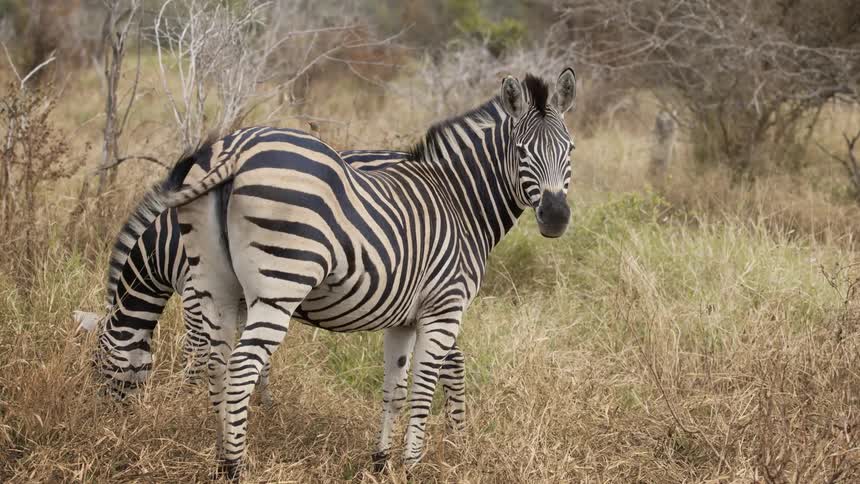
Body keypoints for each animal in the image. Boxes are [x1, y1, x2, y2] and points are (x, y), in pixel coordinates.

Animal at [161, 69, 576, 479]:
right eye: (521, 151)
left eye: (570, 149)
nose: (556, 216)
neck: (459, 202)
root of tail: (237, 150)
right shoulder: (444, 309)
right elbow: (422, 390)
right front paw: (411, 466)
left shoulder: (403, 320)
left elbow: (394, 391)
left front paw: (381, 461)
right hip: (279, 286)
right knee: (241, 367)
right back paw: (235, 467)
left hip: (217, 286)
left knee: (217, 364)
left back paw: (219, 459)